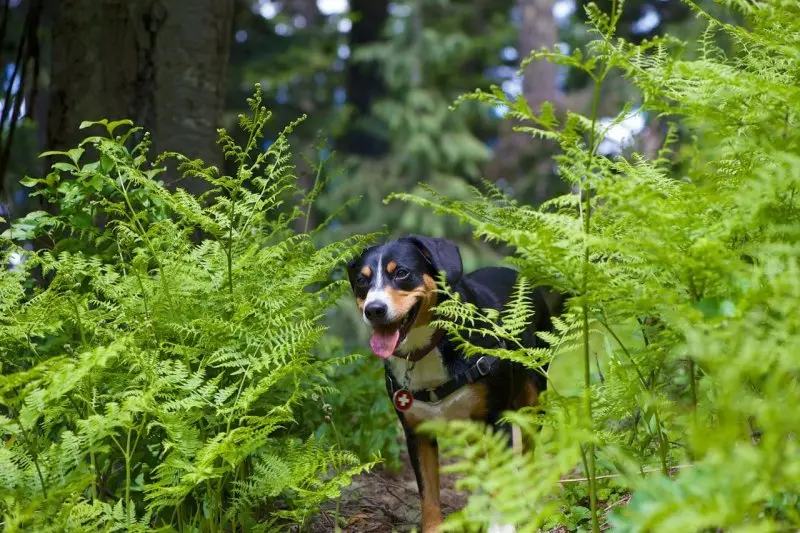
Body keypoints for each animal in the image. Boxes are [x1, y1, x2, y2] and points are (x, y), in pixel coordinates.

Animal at [346, 235, 560, 528]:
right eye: (361, 280)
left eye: (401, 273)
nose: (374, 309)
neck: (425, 351)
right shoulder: (417, 434)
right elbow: (428, 495)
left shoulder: (497, 421)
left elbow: (501, 482)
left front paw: (502, 525)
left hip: (530, 401)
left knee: (527, 457)